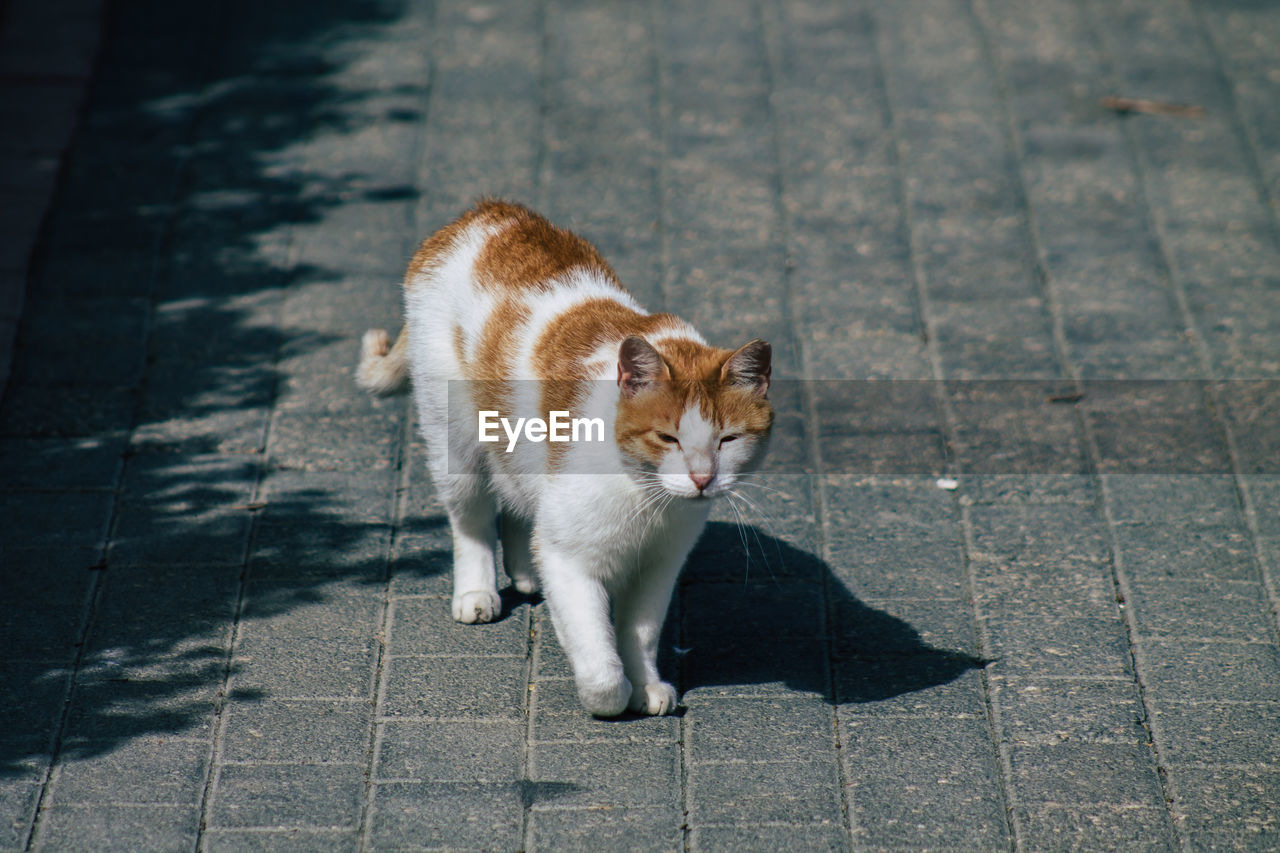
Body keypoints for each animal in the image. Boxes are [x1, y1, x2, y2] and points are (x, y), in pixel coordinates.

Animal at [355, 199, 768, 712]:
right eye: (667, 438)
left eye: (727, 440)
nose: (701, 478)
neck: (645, 499)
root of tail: (483, 212)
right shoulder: (571, 561)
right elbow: (600, 663)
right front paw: (615, 693)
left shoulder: (660, 565)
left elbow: (641, 634)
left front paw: (647, 684)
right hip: (456, 443)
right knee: (471, 521)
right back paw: (477, 591)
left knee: (519, 502)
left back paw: (526, 571)